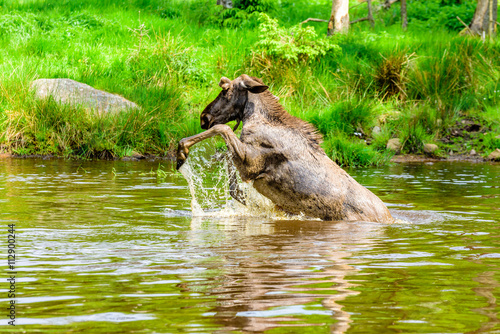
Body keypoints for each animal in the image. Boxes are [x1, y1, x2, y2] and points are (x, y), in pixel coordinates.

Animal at [177, 74, 394, 223]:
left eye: (225, 90)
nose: (204, 117)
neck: (253, 117)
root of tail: (391, 219)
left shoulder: (251, 164)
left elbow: (222, 129)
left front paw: (181, 152)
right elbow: (230, 172)